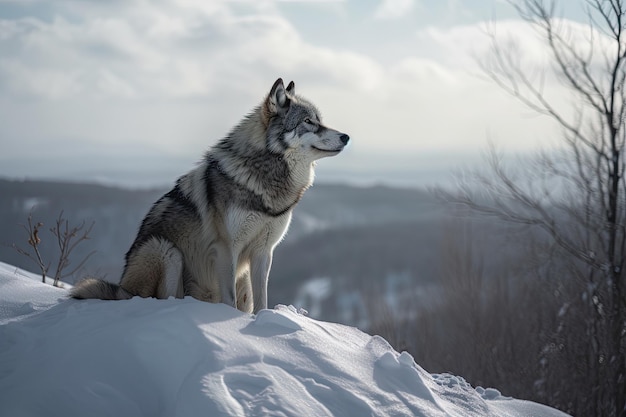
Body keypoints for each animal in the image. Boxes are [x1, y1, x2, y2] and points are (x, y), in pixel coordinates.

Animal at [72, 78, 352, 312]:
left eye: (319, 120)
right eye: (308, 122)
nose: (346, 136)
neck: (265, 174)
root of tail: (123, 288)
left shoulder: (263, 252)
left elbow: (262, 300)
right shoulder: (227, 248)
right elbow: (229, 299)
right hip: (164, 249)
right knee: (162, 298)